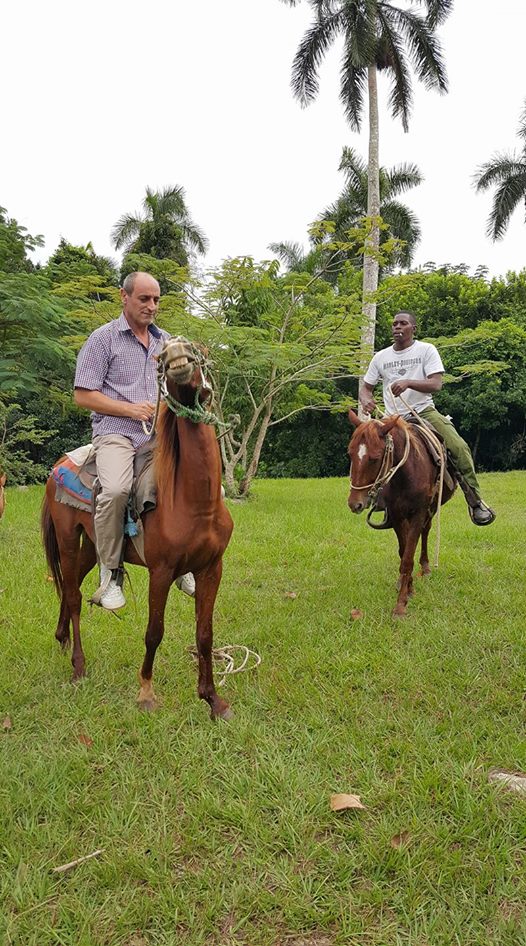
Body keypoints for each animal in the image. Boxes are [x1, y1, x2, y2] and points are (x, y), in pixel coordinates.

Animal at [42, 336, 236, 712]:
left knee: (75, 586)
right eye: (161, 359)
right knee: (73, 596)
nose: (175, 351)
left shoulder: (212, 568)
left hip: (92, 545)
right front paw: (146, 692)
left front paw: (212, 699)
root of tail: (59, 465)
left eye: (199, 349)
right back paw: (78, 666)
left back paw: (61, 638)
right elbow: (154, 632)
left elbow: (204, 634)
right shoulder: (160, 571)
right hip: (68, 539)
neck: (195, 502)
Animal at [348, 410, 456, 616]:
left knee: (425, 531)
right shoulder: (397, 516)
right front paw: (409, 588)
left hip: (430, 510)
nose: (354, 504)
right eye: (350, 454)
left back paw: (426, 567)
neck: (406, 474)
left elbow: (407, 558)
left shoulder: (418, 513)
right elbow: (403, 551)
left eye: (374, 458)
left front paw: (400, 605)